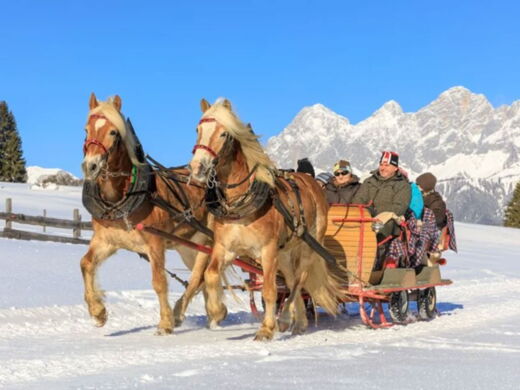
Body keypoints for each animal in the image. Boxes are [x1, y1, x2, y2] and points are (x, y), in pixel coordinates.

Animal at [79, 93, 217, 334]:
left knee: (197, 279)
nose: (91, 166)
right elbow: (85, 263)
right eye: (86, 130)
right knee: (204, 279)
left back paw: (182, 313)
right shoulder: (107, 241)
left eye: (113, 132)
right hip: (188, 247)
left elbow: (159, 282)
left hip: (207, 243)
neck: (121, 198)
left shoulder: (155, 244)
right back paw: (214, 313)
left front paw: (165, 323)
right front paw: (98, 311)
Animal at [189, 98, 344, 342]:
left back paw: (285, 318)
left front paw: (266, 328)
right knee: (290, 280)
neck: (240, 203)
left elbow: (269, 290)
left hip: (307, 246)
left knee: (299, 280)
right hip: (285, 253)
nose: (198, 167)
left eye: (224, 133)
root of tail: (311, 182)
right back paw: (299, 322)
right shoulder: (226, 248)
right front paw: (217, 311)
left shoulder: (267, 249)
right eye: (198, 130)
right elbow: (211, 274)